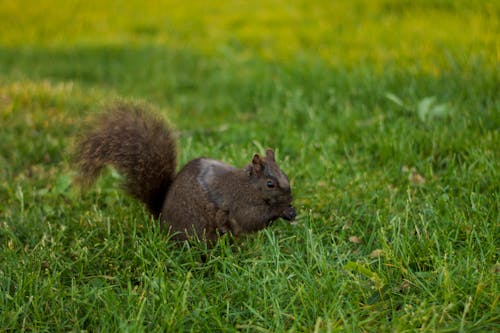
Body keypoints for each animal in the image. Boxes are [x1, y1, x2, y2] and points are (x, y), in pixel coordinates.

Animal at [74, 101, 296, 241]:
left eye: (285, 175)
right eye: (270, 184)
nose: (290, 199)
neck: (249, 186)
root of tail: (162, 220)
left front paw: (290, 211)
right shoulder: (238, 202)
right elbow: (250, 219)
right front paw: (281, 210)